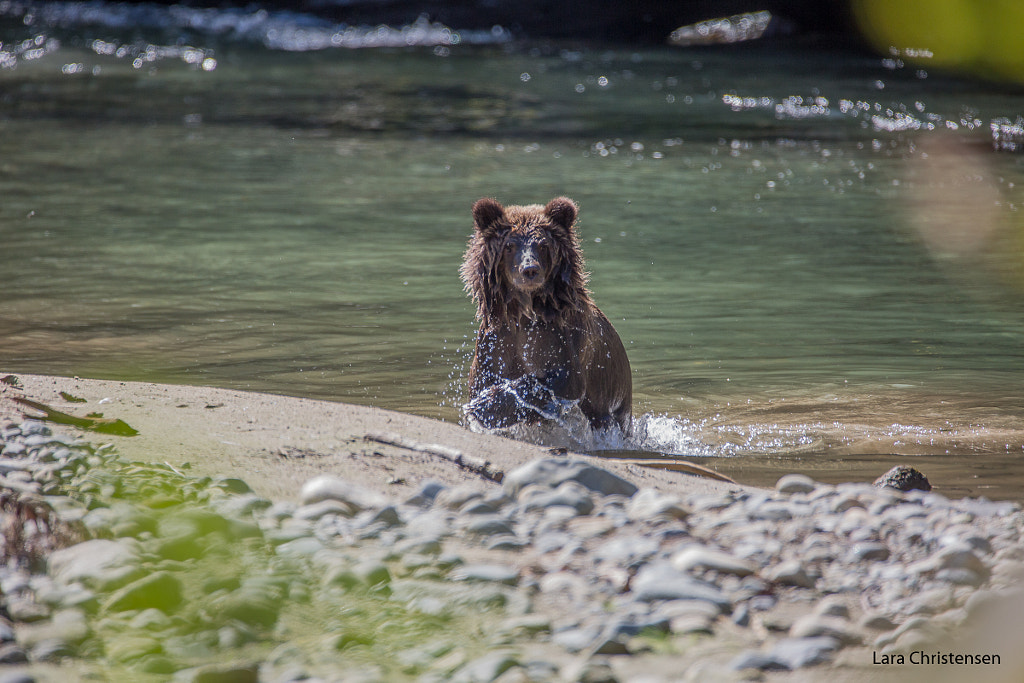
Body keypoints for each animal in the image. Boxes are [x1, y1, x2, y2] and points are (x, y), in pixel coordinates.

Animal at [458, 196, 630, 432]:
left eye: (543, 245)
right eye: (509, 245)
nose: (530, 269)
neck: (523, 313)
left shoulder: (557, 337)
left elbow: (562, 381)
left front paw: (487, 406)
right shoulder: (495, 340)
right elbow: (481, 380)